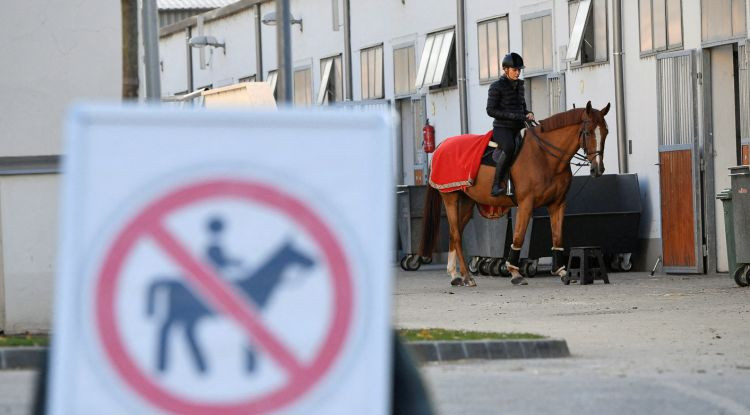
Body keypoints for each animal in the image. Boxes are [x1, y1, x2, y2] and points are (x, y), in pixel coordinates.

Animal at [420, 102, 612, 288]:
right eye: (587, 132)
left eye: (606, 132)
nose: (598, 169)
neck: (545, 157)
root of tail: (442, 146)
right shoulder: (526, 203)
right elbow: (519, 236)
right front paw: (515, 273)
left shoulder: (557, 204)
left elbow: (557, 237)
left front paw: (562, 271)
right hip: (451, 198)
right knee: (457, 235)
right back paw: (467, 276)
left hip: (467, 202)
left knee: (455, 233)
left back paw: (454, 275)